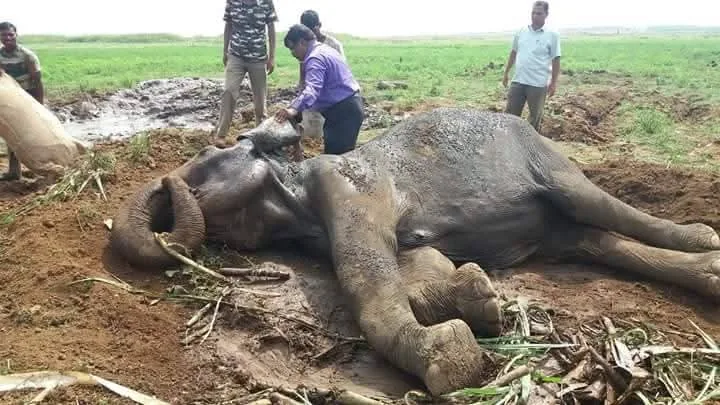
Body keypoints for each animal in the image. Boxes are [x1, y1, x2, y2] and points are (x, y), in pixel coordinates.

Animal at [109, 108, 720, 395]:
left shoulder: (349, 187)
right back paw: (709, 273)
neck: (292, 187)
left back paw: (705, 241)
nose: (167, 181)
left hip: (548, 160)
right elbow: (415, 267)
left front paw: (451, 359)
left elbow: (369, 277)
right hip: (557, 225)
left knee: (601, 208)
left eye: (206, 156)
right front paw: (476, 299)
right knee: (594, 240)